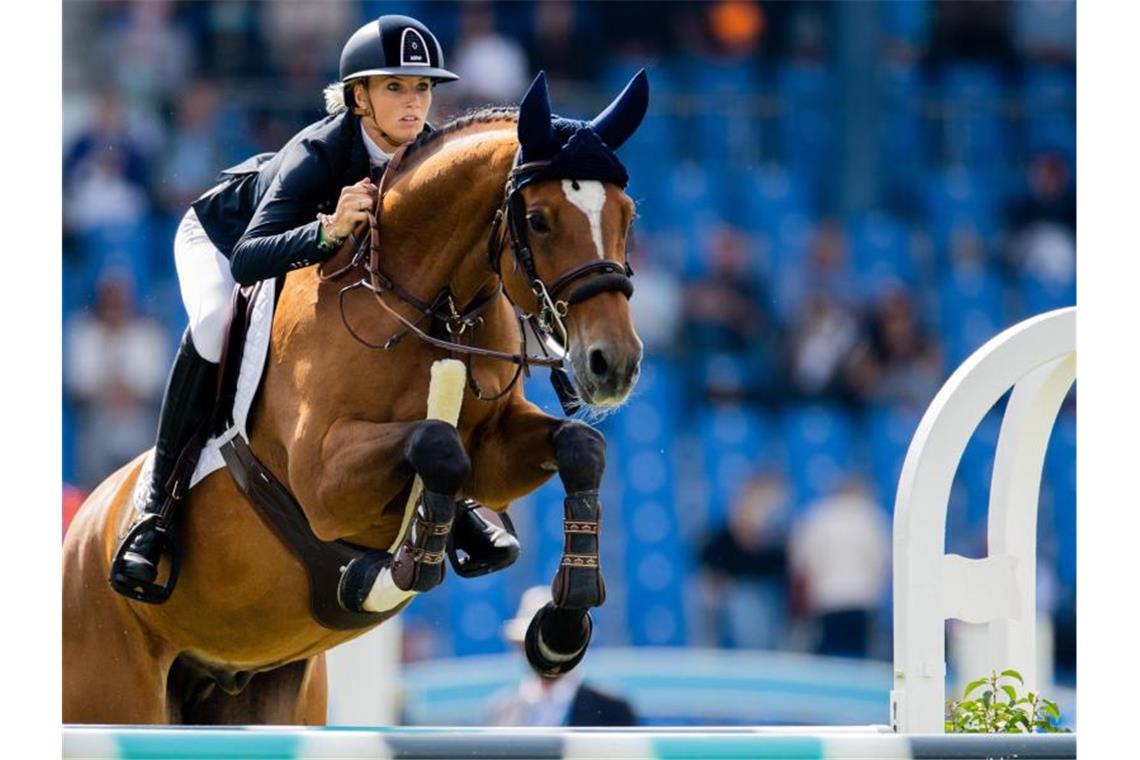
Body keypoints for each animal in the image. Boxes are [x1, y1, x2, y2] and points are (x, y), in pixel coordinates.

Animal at [62, 71, 652, 724]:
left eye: (627, 215)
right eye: (542, 220)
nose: (613, 364)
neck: (421, 302)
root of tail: (83, 530)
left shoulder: (496, 452)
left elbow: (579, 445)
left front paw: (560, 629)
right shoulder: (323, 480)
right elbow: (437, 445)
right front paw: (397, 565)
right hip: (115, 687)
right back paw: (145, 547)